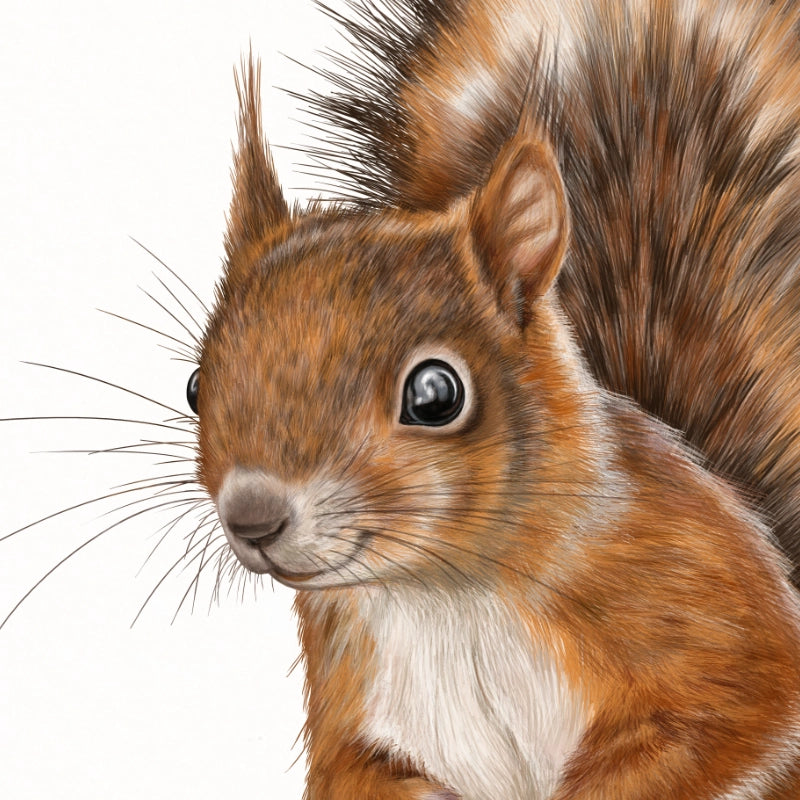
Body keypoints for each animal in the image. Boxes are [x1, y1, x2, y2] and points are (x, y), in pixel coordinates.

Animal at [192, 0, 800, 798]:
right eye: (195, 384)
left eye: (435, 394)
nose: (252, 518)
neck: (446, 592)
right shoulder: (352, 698)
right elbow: (355, 771)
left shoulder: (704, 607)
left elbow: (725, 719)